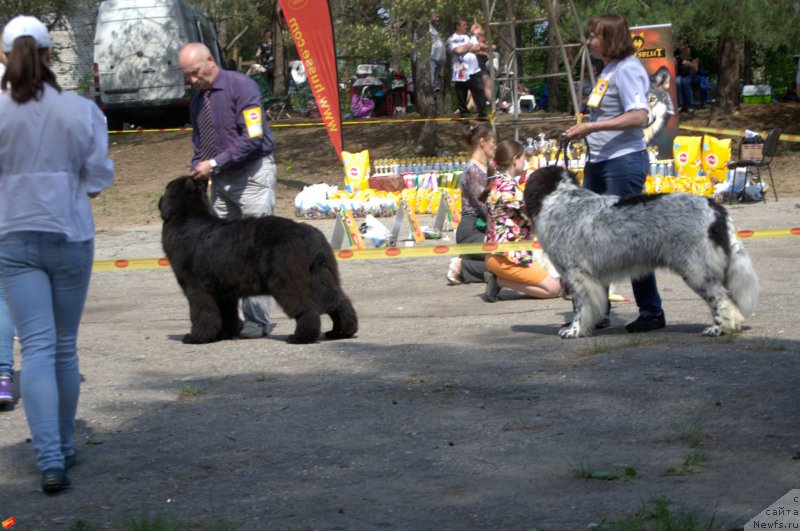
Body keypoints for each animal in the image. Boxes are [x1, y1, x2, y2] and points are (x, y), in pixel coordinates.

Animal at [159, 177, 356, 344]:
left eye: (166, 188)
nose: (159, 200)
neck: (187, 219)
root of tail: (311, 236)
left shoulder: (197, 287)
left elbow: (202, 314)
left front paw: (196, 337)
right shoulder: (224, 291)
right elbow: (226, 315)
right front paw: (223, 335)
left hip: (286, 281)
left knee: (307, 308)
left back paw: (300, 337)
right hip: (321, 276)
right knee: (339, 302)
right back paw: (340, 332)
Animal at [520, 167, 760, 340]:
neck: (560, 198)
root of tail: (716, 209)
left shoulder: (577, 274)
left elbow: (580, 307)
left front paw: (574, 330)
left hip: (696, 270)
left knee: (720, 299)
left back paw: (719, 329)